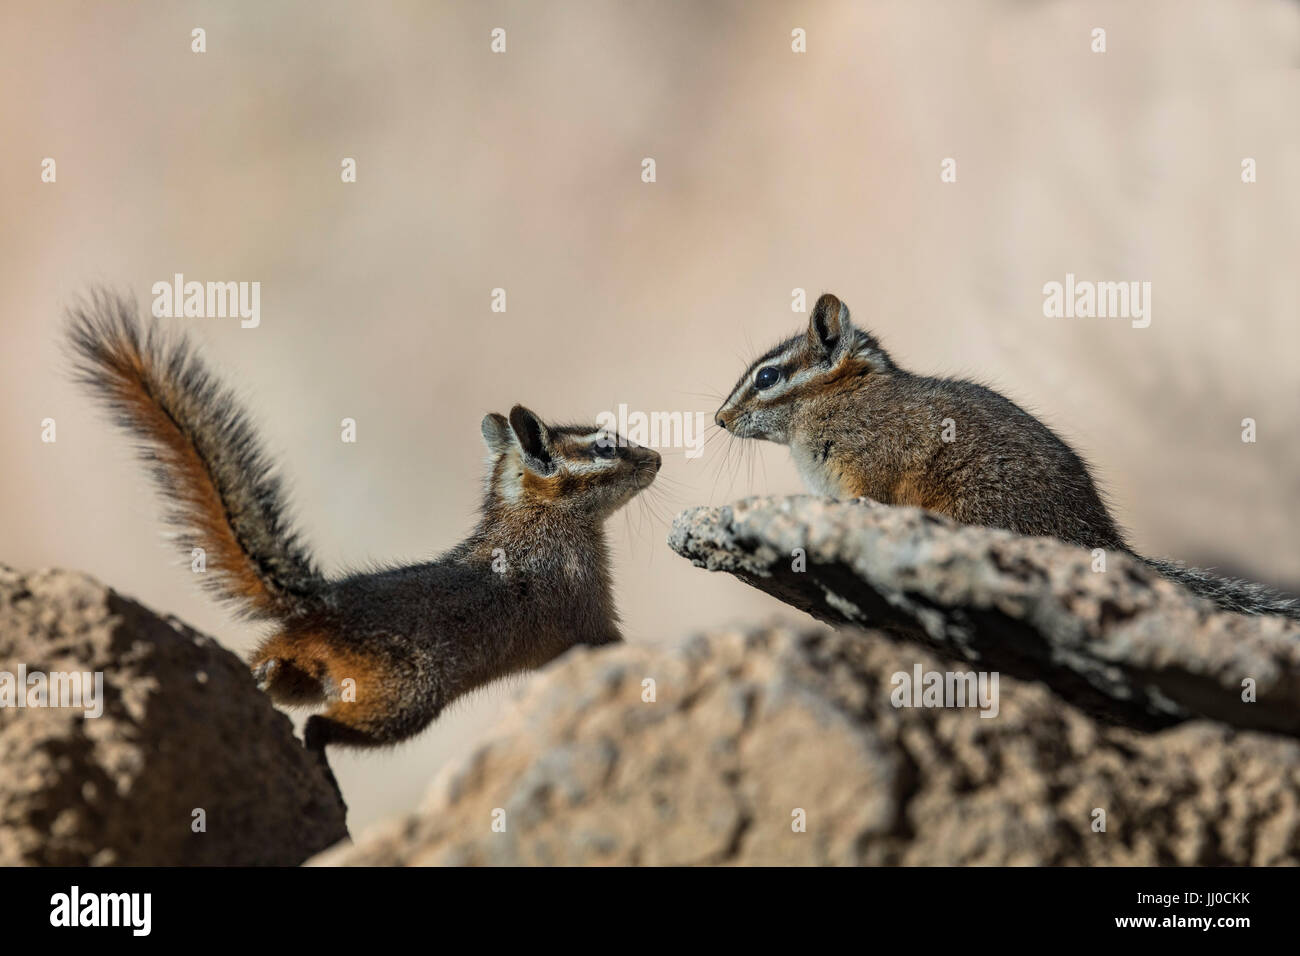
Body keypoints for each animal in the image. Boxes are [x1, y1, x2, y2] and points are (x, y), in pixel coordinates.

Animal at [66, 290, 662, 751]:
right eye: (605, 445)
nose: (656, 458)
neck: (536, 517)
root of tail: (320, 606)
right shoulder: (582, 608)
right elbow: (609, 644)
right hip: (405, 695)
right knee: (319, 726)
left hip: (310, 669)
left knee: (276, 679)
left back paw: (260, 678)